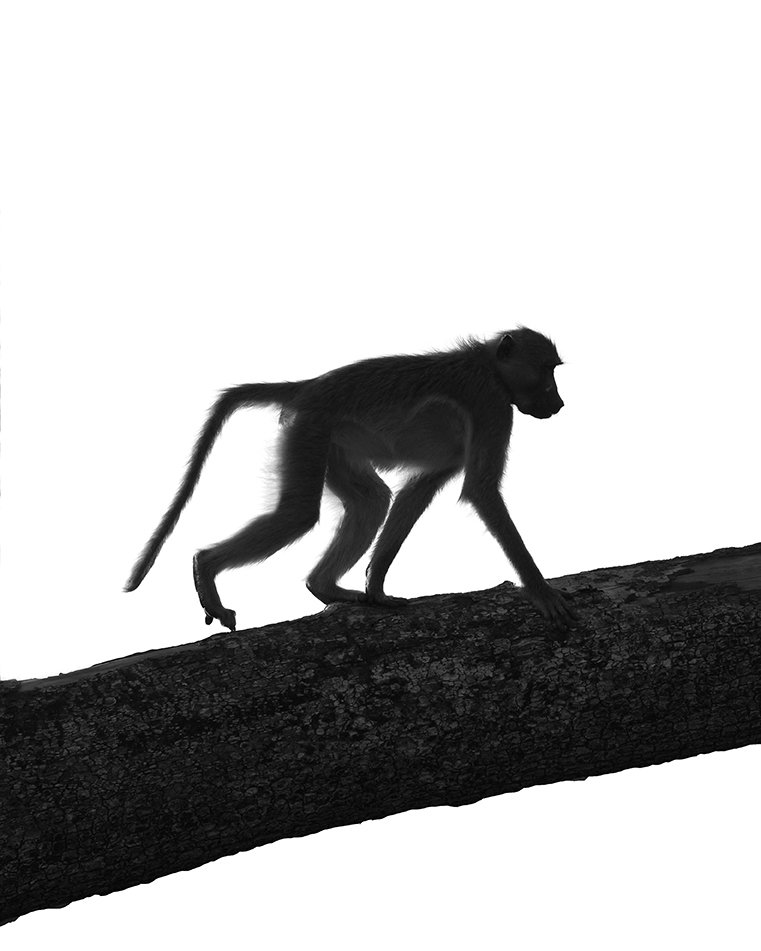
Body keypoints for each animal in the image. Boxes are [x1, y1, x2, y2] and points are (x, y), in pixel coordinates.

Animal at [125, 328, 577, 634]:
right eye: (546, 370)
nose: (558, 402)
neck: (487, 366)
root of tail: (308, 387)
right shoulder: (491, 405)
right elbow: (481, 490)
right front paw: (541, 592)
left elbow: (416, 492)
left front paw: (376, 588)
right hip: (312, 428)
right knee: (298, 515)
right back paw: (206, 567)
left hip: (329, 441)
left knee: (371, 501)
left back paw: (325, 587)